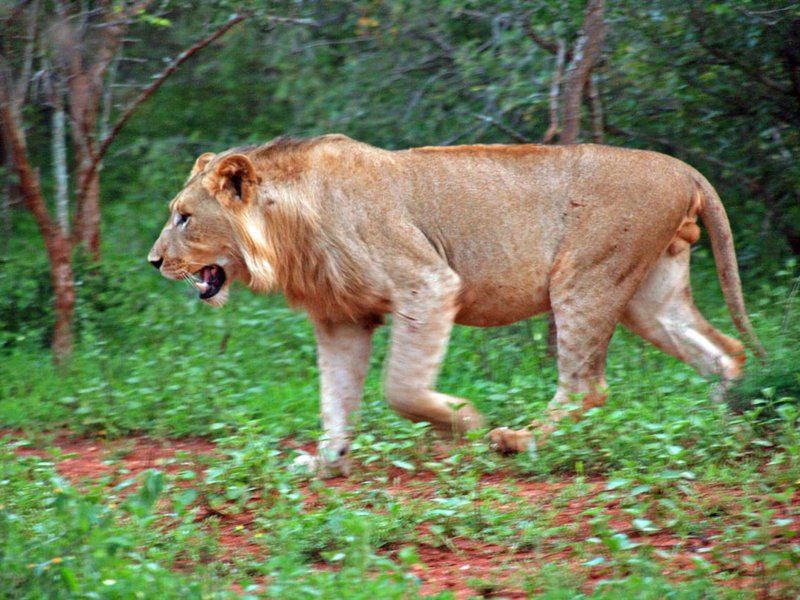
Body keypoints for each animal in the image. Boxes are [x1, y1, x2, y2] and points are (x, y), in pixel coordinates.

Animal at [148, 134, 764, 475]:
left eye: (184, 217)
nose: (153, 262)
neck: (287, 232)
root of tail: (683, 169)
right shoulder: (342, 317)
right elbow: (336, 400)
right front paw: (325, 464)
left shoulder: (429, 282)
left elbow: (400, 388)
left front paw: (464, 419)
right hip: (646, 294)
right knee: (724, 352)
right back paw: (727, 433)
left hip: (586, 276)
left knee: (587, 385)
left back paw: (516, 440)